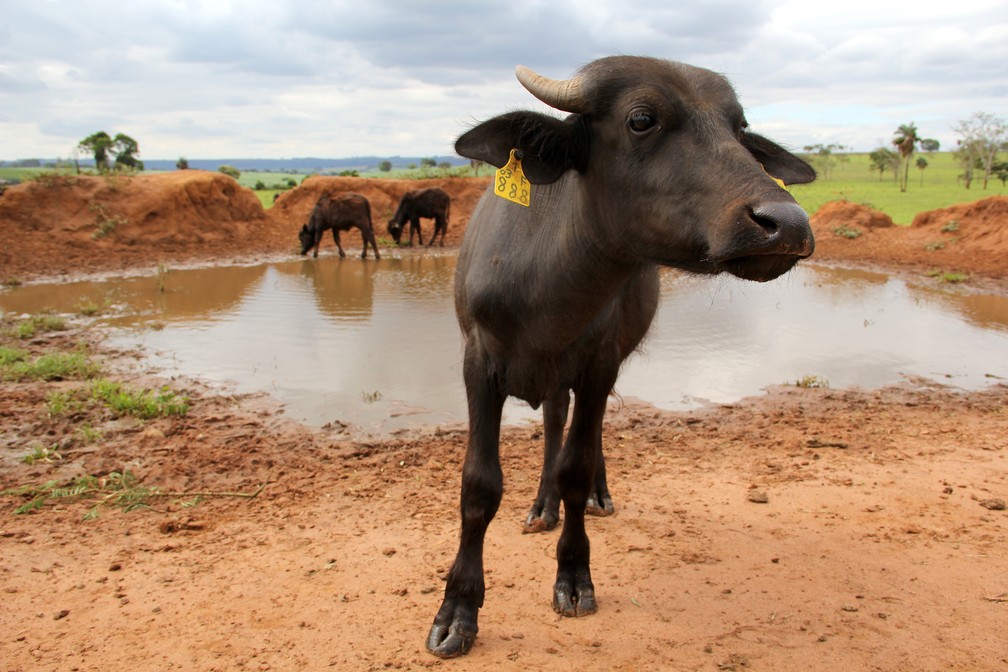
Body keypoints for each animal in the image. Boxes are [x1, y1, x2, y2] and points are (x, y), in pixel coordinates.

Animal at [425, 56, 818, 656]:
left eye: (739, 128)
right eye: (641, 119)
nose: (786, 224)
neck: (548, 290)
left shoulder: (598, 365)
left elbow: (576, 466)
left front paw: (573, 578)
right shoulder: (479, 364)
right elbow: (480, 484)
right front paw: (457, 611)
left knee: (579, 444)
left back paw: (593, 497)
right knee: (553, 425)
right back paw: (541, 507)